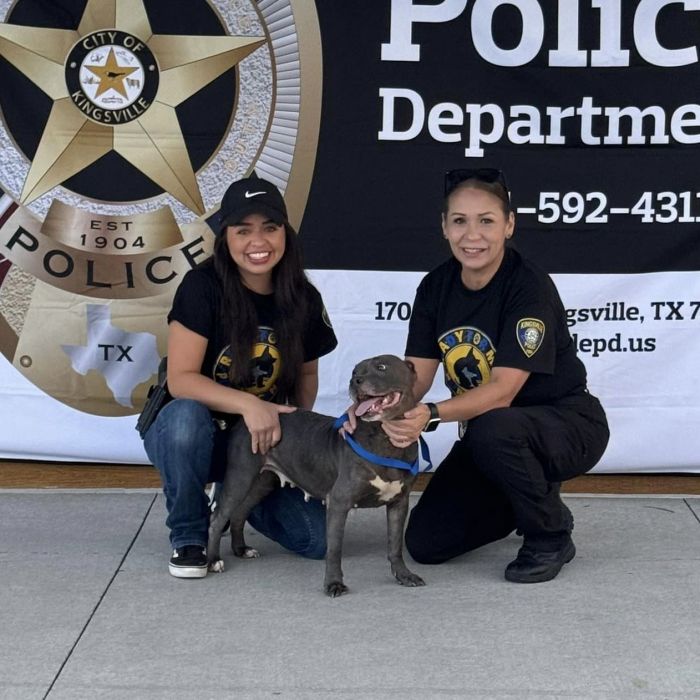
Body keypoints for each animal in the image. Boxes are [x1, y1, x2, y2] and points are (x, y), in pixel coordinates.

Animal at [208, 356, 426, 596]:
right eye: (354, 371)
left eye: (381, 367)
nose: (356, 381)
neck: (385, 440)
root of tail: (247, 418)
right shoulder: (339, 502)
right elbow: (334, 549)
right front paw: (333, 583)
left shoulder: (399, 503)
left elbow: (395, 544)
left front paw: (404, 575)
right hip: (241, 476)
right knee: (218, 518)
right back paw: (213, 561)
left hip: (262, 483)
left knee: (239, 512)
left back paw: (241, 549)